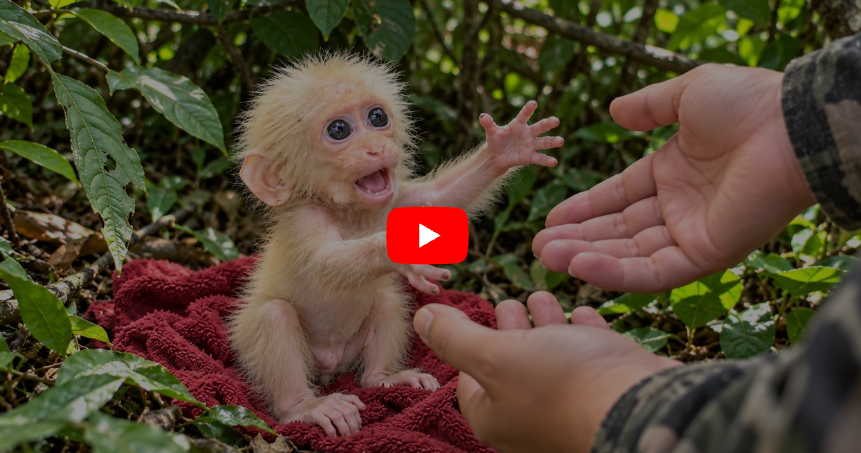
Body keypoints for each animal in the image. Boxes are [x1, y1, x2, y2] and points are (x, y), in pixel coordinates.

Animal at [228, 53, 563, 438]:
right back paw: (305, 407)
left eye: (377, 118)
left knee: (386, 303)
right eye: (339, 130)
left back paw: (383, 380)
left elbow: (439, 199)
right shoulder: (304, 216)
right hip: (253, 344)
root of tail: (330, 368)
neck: (350, 212)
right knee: (274, 315)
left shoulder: (395, 200)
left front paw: (507, 147)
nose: (376, 148)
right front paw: (393, 251)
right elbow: (321, 264)